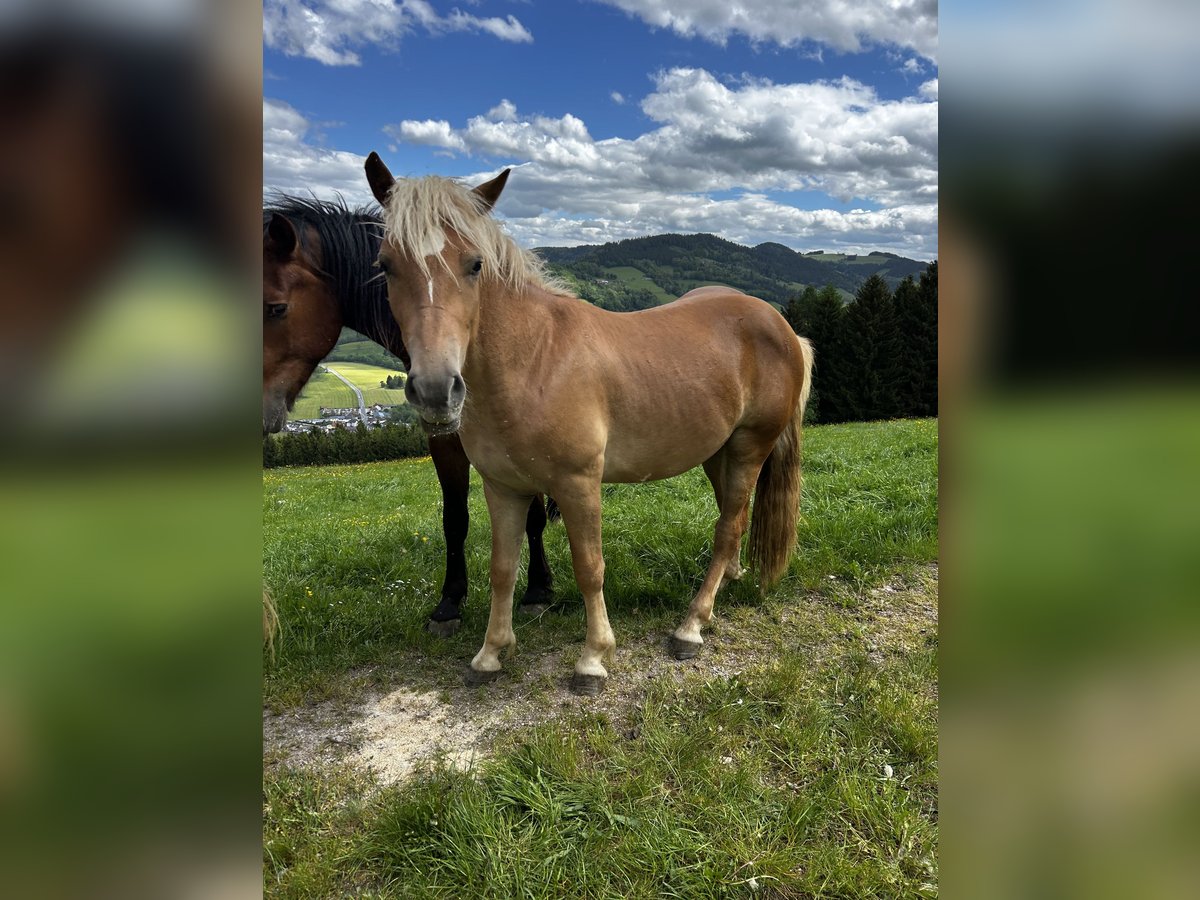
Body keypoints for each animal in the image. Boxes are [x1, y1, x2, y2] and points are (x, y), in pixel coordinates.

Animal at [262, 196, 552, 633]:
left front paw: (538, 591)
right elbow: (455, 517)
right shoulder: (444, 437)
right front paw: (450, 603)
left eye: (276, 308)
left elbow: (532, 514)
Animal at [364, 154, 816, 696]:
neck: (533, 359)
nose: (435, 390)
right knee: (736, 515)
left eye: (474, 264)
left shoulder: (578, 484)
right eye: (386, 265)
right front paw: (491, 653)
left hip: (750, 446)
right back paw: (726, 584)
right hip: (717, 452)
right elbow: (502, 569)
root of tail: (782, 326)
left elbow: (589, 568)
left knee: (727, 527)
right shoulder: (503, 488)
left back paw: (691, 625)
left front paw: (593, 658)